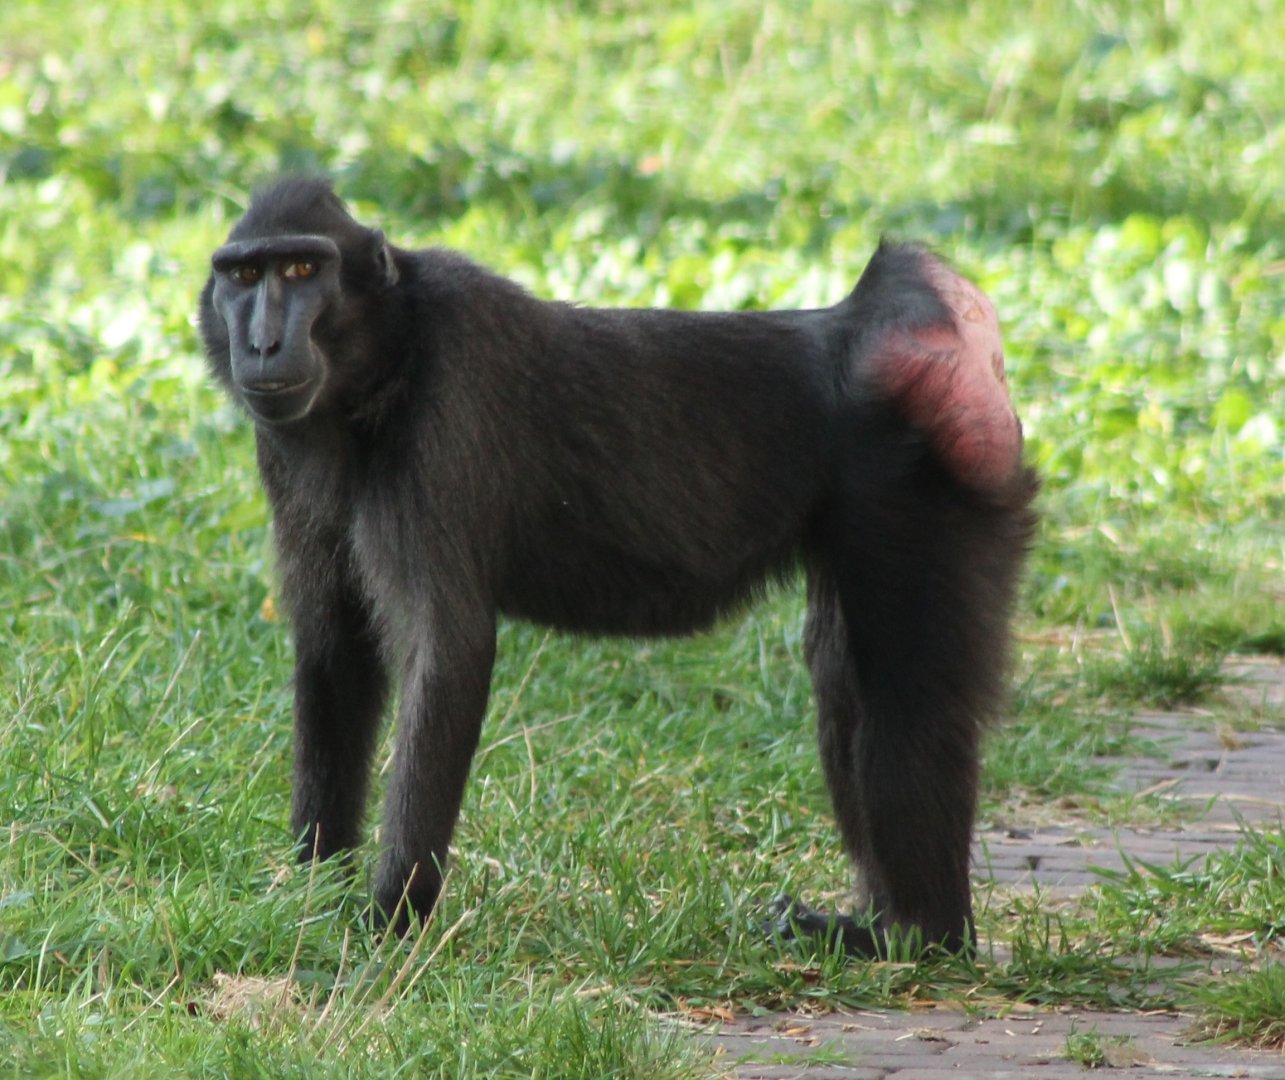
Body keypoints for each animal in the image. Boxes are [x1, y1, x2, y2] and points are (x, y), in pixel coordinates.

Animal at [198, 176, 1037, 952]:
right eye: (243, 275)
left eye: (303, 268)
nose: (263, 343)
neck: (388, 353)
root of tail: (863, 332)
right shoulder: (284, 453)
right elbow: (334, 651)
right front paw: (313, 889)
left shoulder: (448, 403)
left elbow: (449, 652)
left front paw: (387, 922)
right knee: (843, 681)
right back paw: (874, 919)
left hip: (913, 490)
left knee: (904, 700)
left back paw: (918, 934)